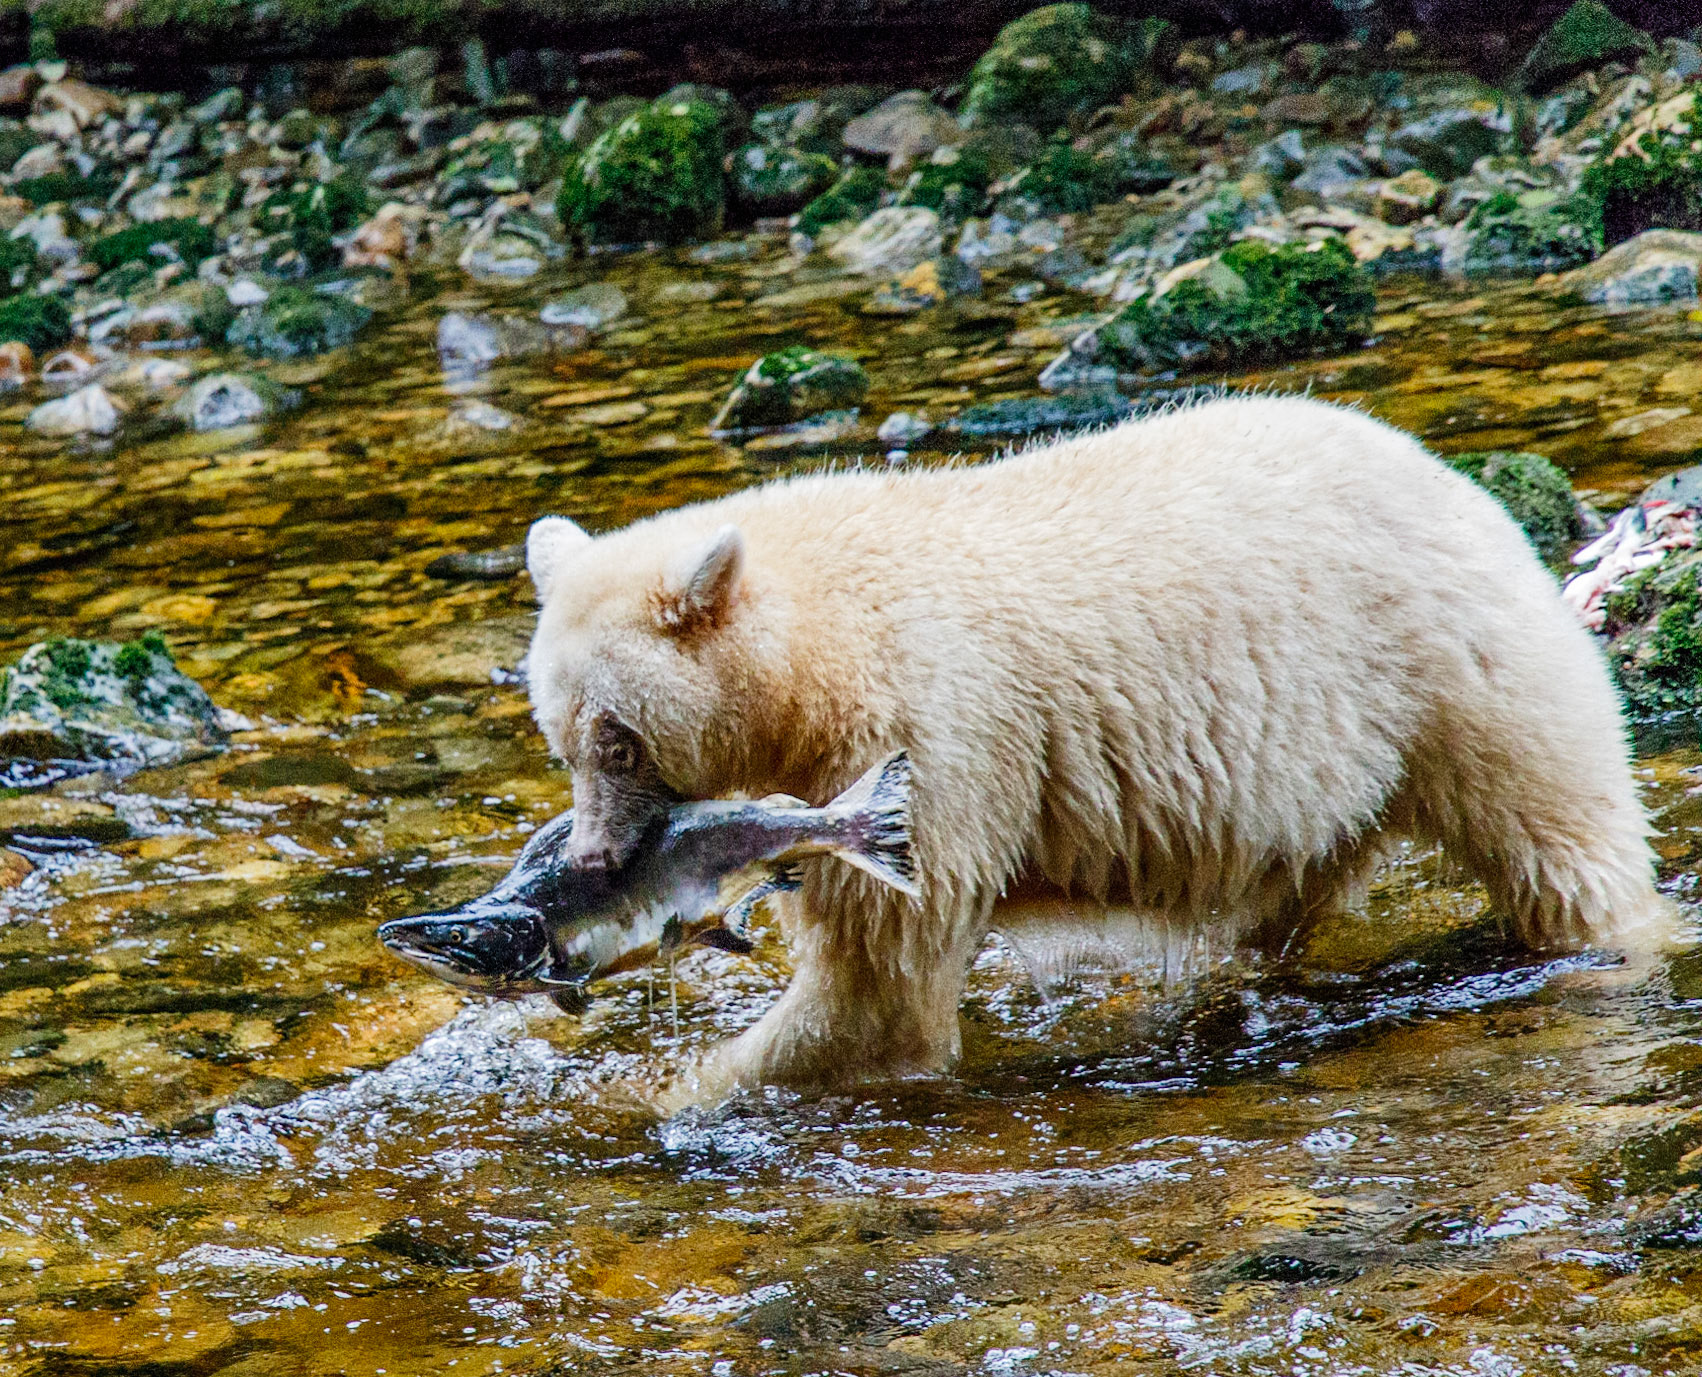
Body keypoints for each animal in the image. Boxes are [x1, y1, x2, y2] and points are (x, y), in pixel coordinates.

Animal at [523, 393, 1664, 1092]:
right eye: (558, 737)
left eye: (617, 739)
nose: (591, 857)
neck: (821, 641)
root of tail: (1458, 483)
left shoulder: (926, 734)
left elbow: (876, 985)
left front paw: (668, 1095)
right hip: (1338, 765)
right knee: (1290, 896)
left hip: (1450, 674)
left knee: (1558, 836)